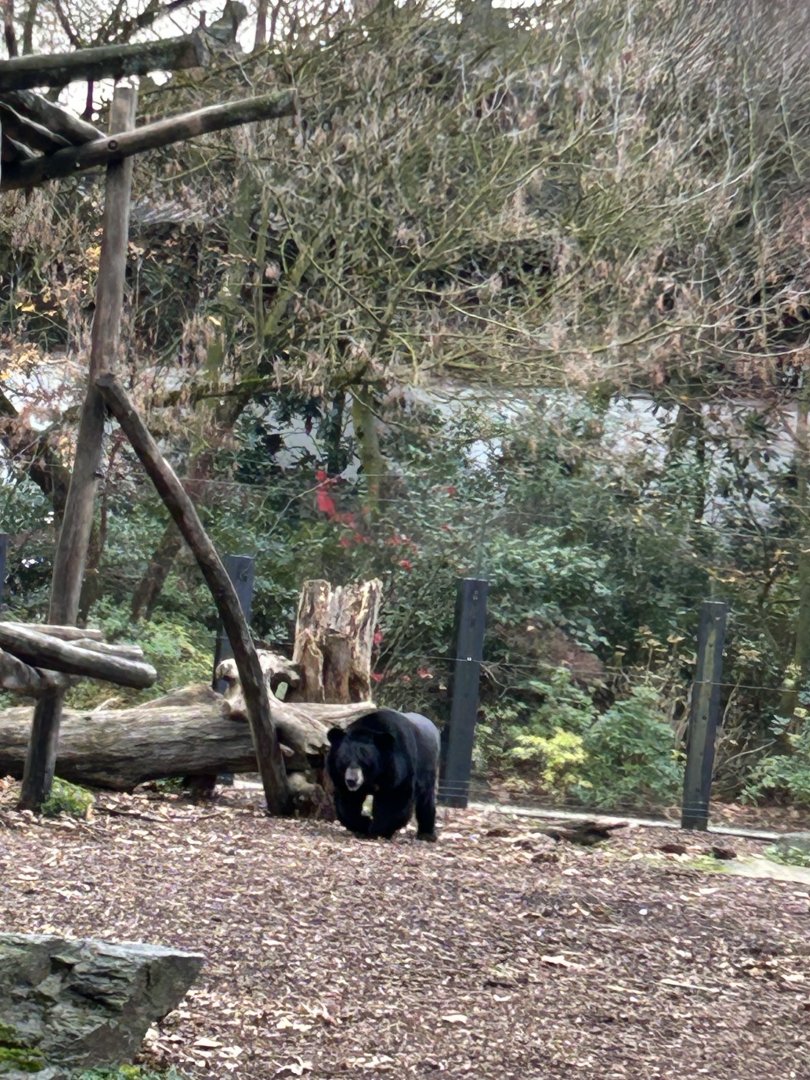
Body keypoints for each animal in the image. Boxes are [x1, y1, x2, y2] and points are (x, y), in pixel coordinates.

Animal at [326, 708, 440, 841]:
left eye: (364, 762)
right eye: (344, 760)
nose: (351, 780)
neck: (373, 777)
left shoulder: (399, 768)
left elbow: (394, 798)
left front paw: (377, 830)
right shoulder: (341, 779)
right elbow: (348, 801)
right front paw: (363, 825)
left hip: (428, 766)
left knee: (426, 798)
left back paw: (427, 835)